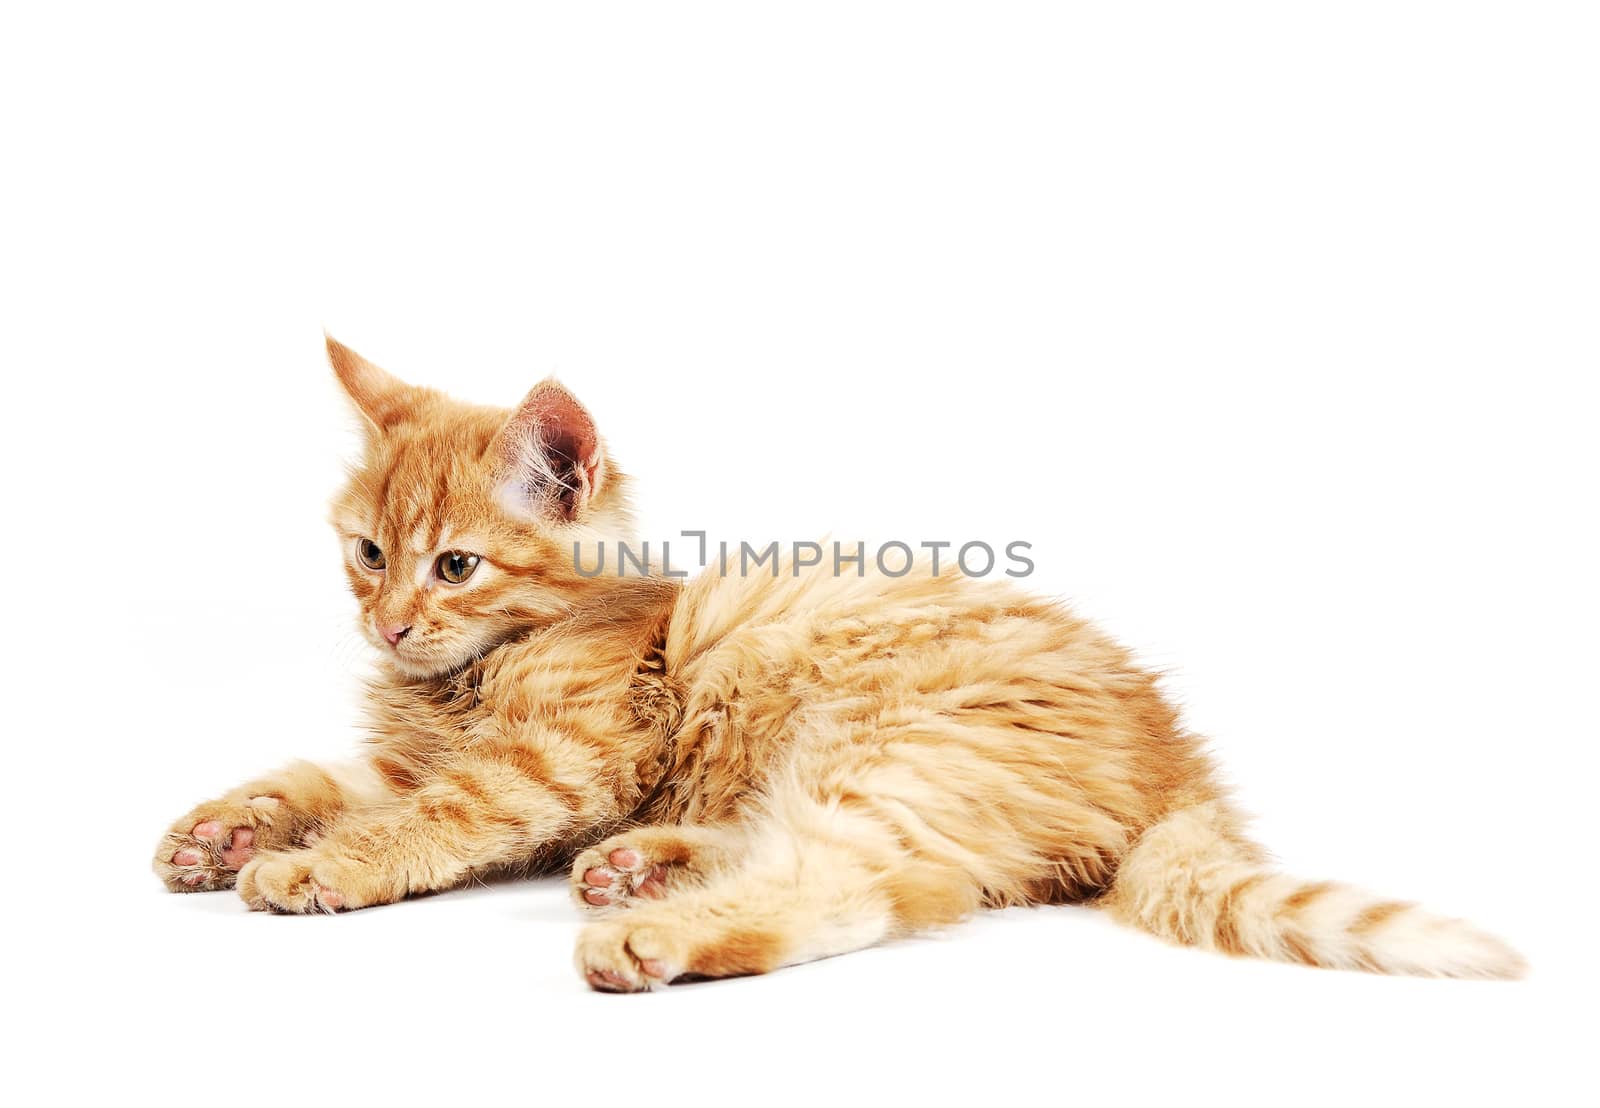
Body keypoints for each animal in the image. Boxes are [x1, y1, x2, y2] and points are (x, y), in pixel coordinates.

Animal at [156, 334, 1529, 986]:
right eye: (366, 554)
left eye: (454, 567)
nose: (386, 625)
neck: (467, 677)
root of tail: (1174, 754)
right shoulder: (431, 758)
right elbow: (326, 776)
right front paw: (224, 829)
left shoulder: (559, 763)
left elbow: (428, 814)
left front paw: (312, 866)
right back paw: (643, 869)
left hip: (893, 748)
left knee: (858, 884)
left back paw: (651, 932)